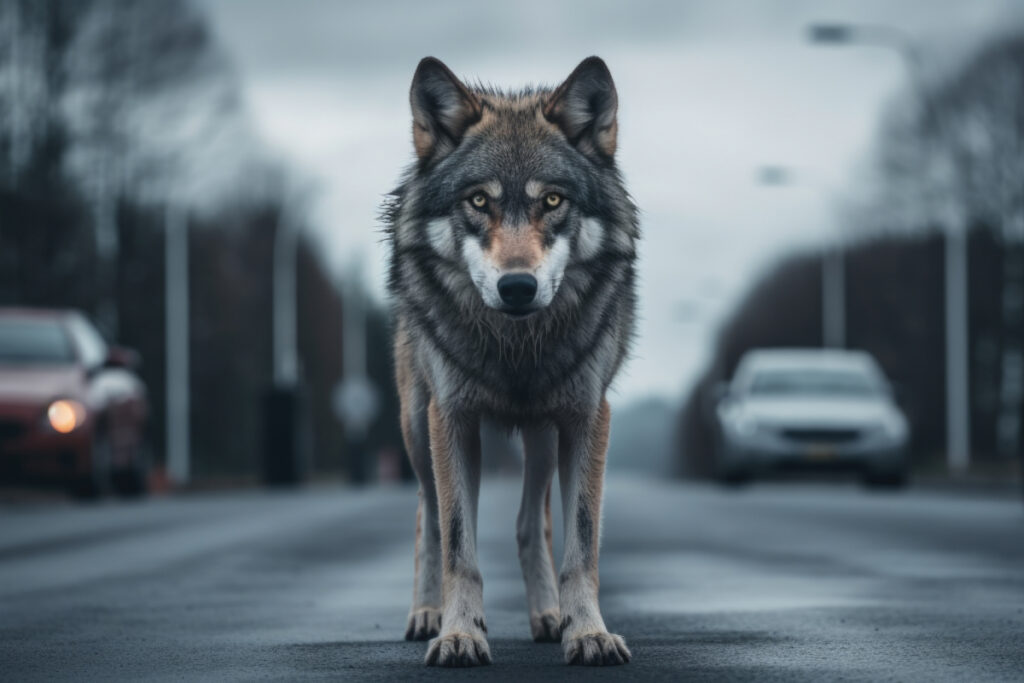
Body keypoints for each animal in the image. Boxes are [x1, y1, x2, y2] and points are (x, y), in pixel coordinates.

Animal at [384, 56, 638, 667]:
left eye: (552, 201)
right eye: (479, 201)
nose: (517, 286)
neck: (518, 347)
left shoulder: (587, 418)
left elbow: (580, 543)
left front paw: (587, 631)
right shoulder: (451, 419)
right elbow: (459, 543)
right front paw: (459, 634)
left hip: (544, 438)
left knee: (529, 524)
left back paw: (548, 617)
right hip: (416, 428)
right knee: (428, 516)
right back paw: (426, 615)